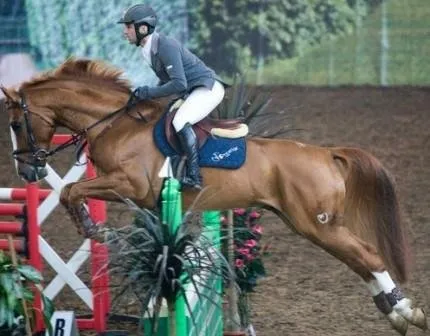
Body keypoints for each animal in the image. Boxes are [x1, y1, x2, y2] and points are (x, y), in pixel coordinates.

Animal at [0, 57, 426, 334]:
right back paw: (395, 312)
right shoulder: (138, 196)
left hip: (316, 225)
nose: (28, 172)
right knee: (360, 260)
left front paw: (92, 228)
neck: (116, 124)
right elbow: (76, 193)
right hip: (311, 224)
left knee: (367, 256)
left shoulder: (127, 184)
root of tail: (325, 153)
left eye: (16, 124)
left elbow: (72, 190)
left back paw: (406, 313)